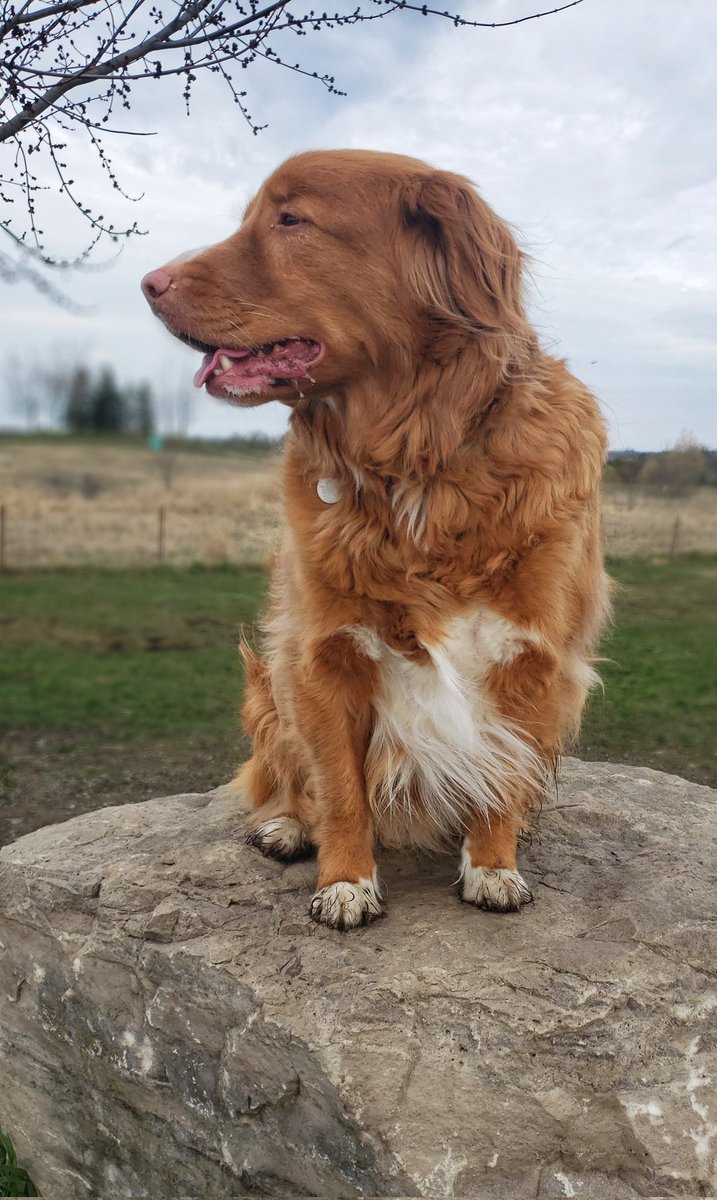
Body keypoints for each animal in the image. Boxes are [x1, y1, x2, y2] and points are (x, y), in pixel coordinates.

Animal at [142, 150, 611, 931]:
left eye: (290, 219)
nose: (148, 283)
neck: (417, 460)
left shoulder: (533, 658)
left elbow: (499, 772)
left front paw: (493, 864)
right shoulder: (319, 656)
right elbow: (339, 788)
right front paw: (345, 881)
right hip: (267, 685)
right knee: (285, 776)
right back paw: (285, 826)